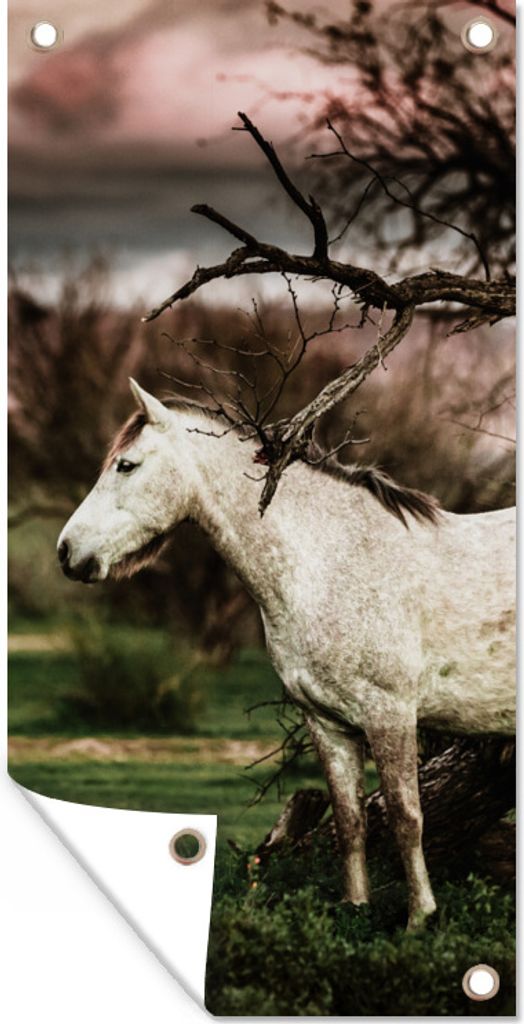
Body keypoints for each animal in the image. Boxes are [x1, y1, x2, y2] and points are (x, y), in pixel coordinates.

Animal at [57, 379, 515, 929]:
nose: (67, 551)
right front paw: (355, 911)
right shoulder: (328, 722)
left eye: (126, 465)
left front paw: (419, 920)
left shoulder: (390, 716)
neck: (331, 562)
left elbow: (406, 817)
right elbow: (351, 820)